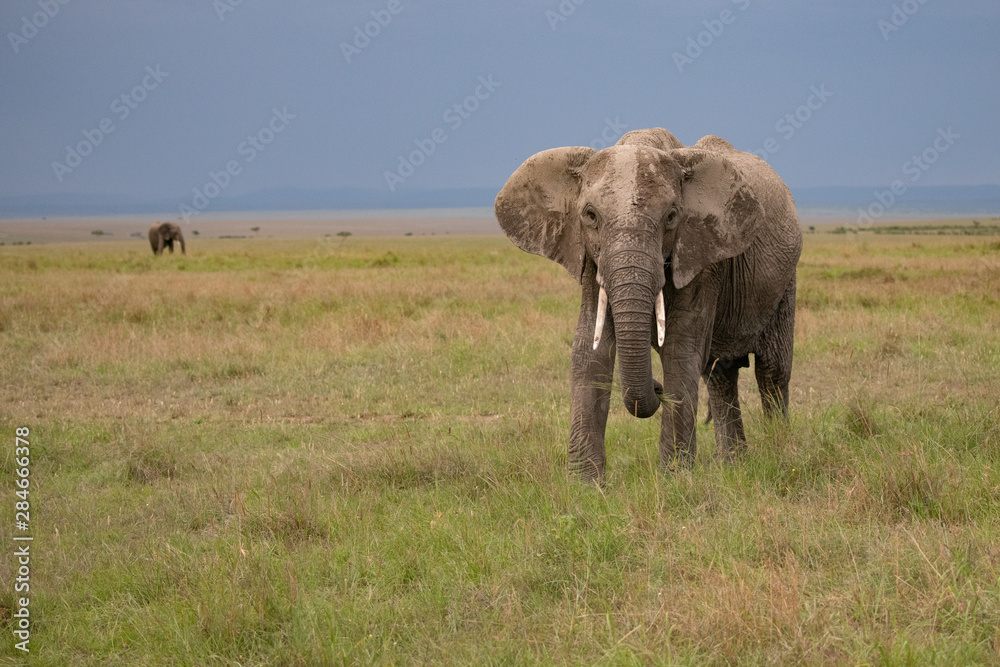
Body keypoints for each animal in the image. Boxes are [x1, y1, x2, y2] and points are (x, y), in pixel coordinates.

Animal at [494, 128, 804, 480]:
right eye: (590, 215)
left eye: (671, 217)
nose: (656, 388)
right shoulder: (589, 255)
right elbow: (590, 350)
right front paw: (584, 484)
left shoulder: (700, 253)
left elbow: (680, 351)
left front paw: (675, 481)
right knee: (720, 376)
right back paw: (733, 466)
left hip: (786, 282)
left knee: (772, 372)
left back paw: (779, 455)